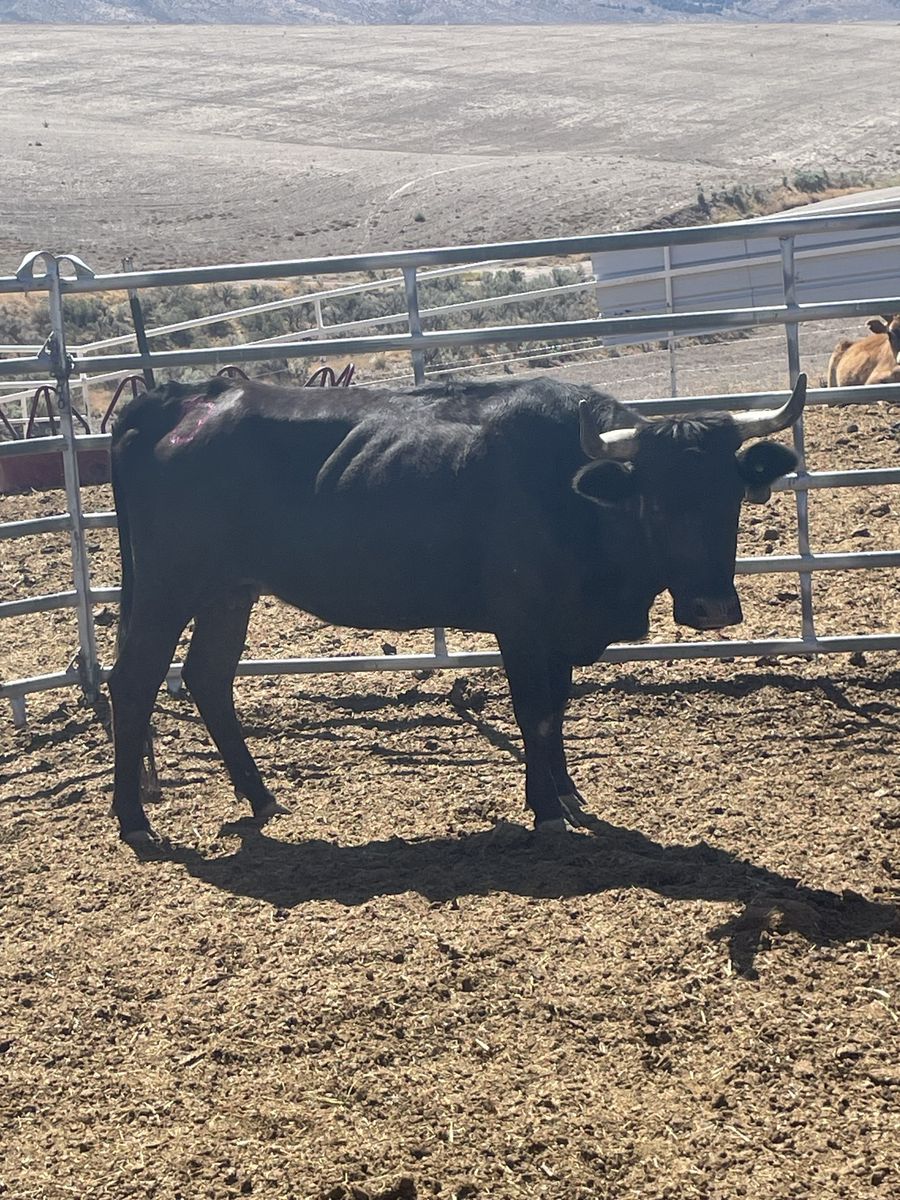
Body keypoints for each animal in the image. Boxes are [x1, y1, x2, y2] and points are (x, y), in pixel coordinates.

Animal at [107, 372, 805, 845]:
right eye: (655, 500)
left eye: (730, 494)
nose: (712, 607)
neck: (567, 490)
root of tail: (180, 399)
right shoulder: (521, 625)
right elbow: (534, 713)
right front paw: (546, 809)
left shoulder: (559, 631)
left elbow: (556, 709)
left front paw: (567, 792)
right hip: (170, 585)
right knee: (135, 680)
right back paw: (135, 820)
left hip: (229, 590)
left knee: (209, 677)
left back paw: (261, 799)